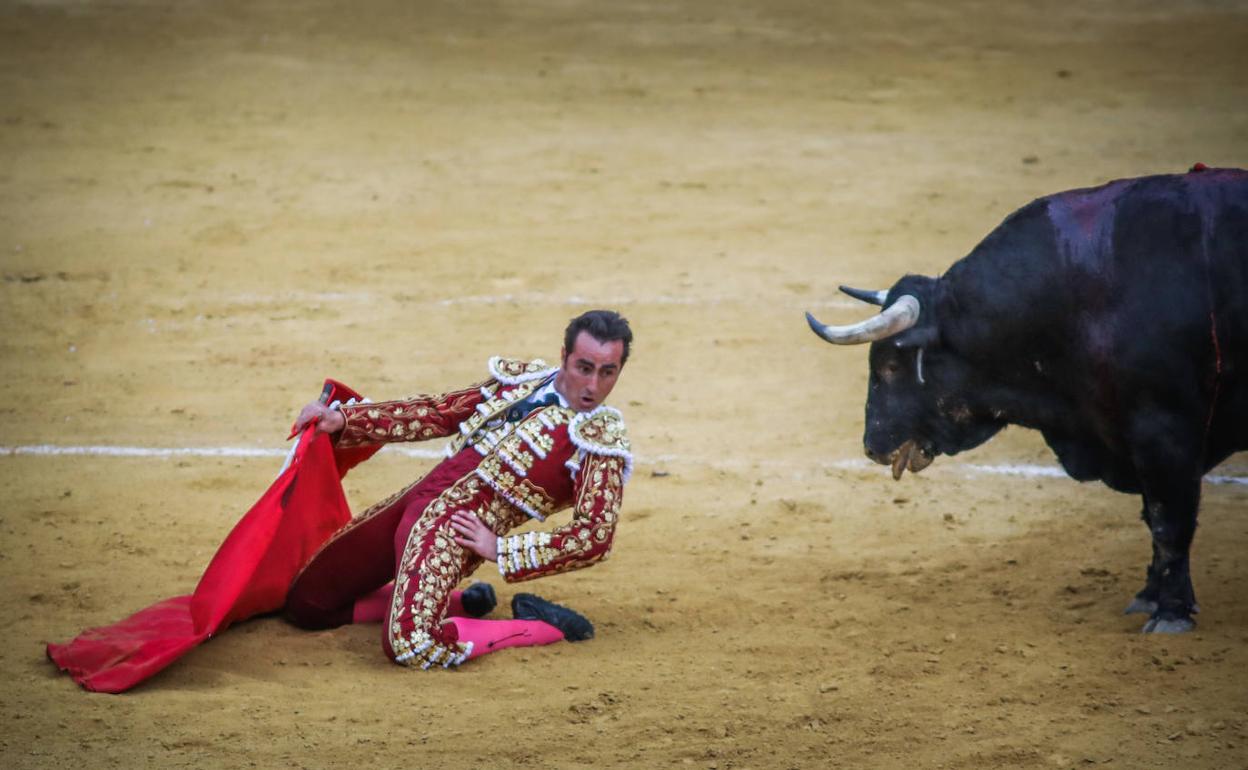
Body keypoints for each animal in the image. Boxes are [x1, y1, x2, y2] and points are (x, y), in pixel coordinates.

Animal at [808, 168, 1248, 631]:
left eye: (892, 365)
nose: (871, 446)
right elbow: (1154, 515)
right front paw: (1149, 597)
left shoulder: (1164, 429)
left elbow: (1168, 520)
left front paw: (1170, 613)